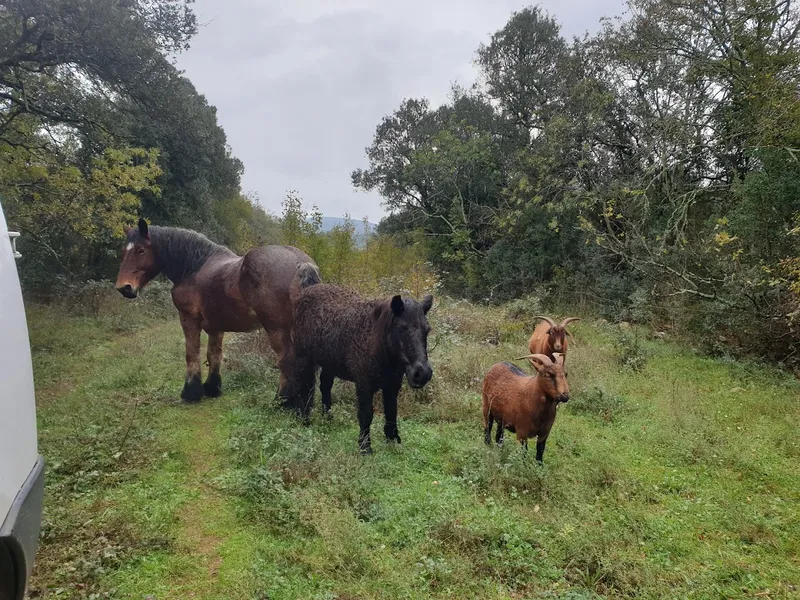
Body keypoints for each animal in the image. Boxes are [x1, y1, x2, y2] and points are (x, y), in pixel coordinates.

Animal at [116, 218, 322, 400]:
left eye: (141, 250)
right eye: (124, 251)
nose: (124, 287)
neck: (193, 268)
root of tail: (301, 263)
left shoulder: (188, 319)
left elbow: (192, 353)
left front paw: (191, 392)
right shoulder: (216, 327)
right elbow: (214, 354)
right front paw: (211, 388)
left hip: (276, 329)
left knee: (287, 362)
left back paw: (281, 401)